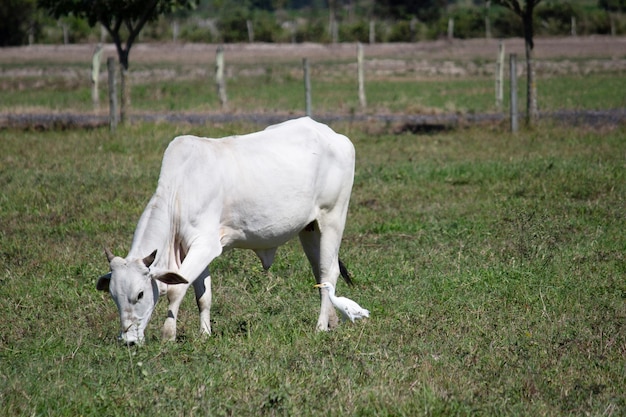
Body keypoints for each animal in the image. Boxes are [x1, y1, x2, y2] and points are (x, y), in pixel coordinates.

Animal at [95, 117, 354, 344]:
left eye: (139, 294)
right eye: (113, 295)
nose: (128, 341)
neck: (179, 191)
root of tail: (336, 137)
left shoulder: (206, 246)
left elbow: (176, 290)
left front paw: (168, 335)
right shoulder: (195, 249)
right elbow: (203, 297)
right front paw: (204, 335)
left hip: (333, 217)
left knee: (329, 271)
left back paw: (320, 327)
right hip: (309, 229)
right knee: (319, 273)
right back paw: (331, 321)